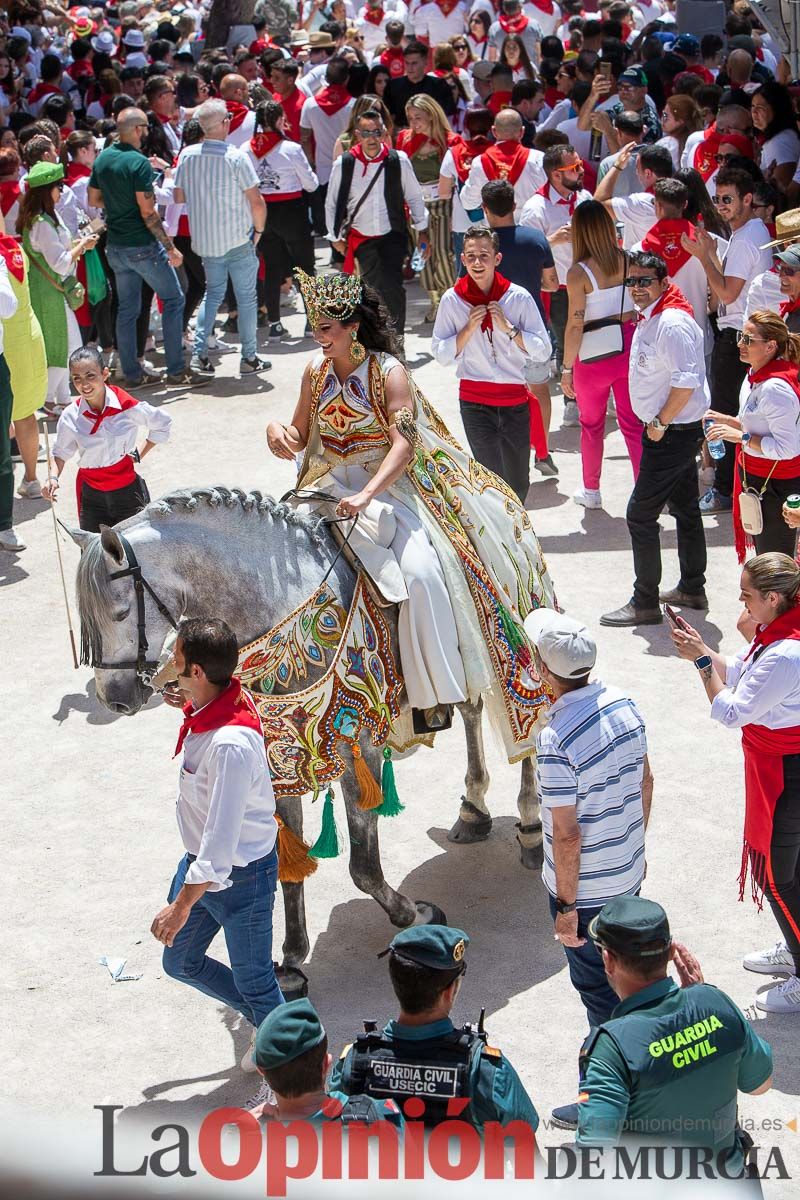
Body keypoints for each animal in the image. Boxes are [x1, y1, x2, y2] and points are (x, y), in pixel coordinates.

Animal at [73, 487, 544, 993]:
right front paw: (292, 957)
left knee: (530, 728)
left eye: (121, 612)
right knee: (474, 712)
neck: (284, 613)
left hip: (513, 644)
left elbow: (363, 865)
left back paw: (532, 827)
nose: (113, 698)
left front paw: (412, 914)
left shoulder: (358, 744)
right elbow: (289, 864)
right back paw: (473, 810)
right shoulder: (280, 761)